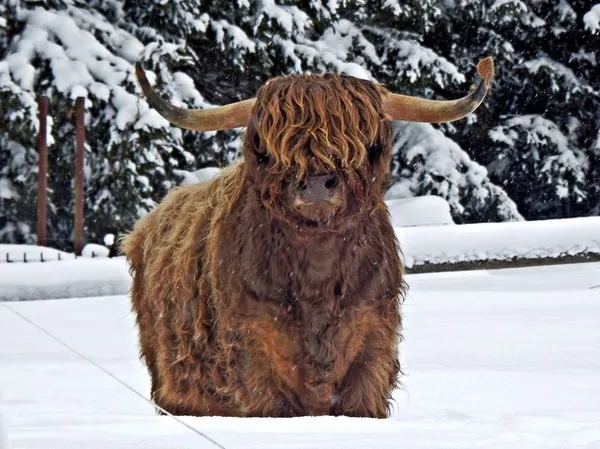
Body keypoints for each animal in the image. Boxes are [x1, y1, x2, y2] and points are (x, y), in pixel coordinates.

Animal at [120, 57, 492, 418]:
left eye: (361, 139)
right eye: (270, 146)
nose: (316, 185)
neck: (317, 268)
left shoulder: (372, 346)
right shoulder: (252, 350)